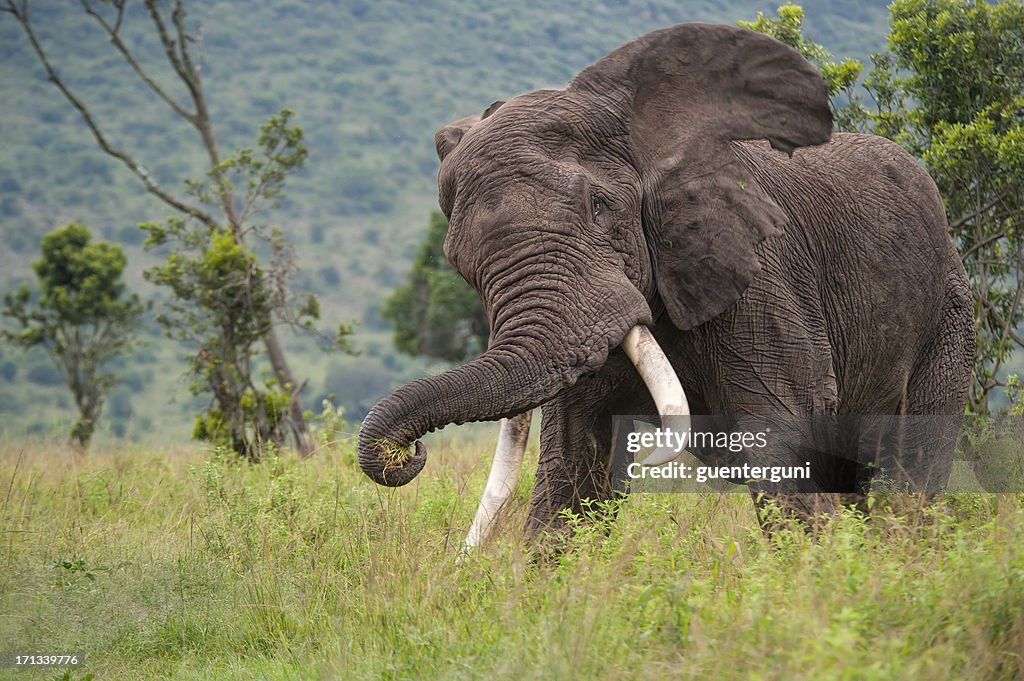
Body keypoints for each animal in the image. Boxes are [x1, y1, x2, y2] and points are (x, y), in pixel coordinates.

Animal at [358, 22, 974, 540]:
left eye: (600, 206)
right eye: (460, 262)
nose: (405, 456)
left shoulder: (762, 280)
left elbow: (784, 442)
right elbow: (572, 468)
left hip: (948, 316)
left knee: (911, 469)